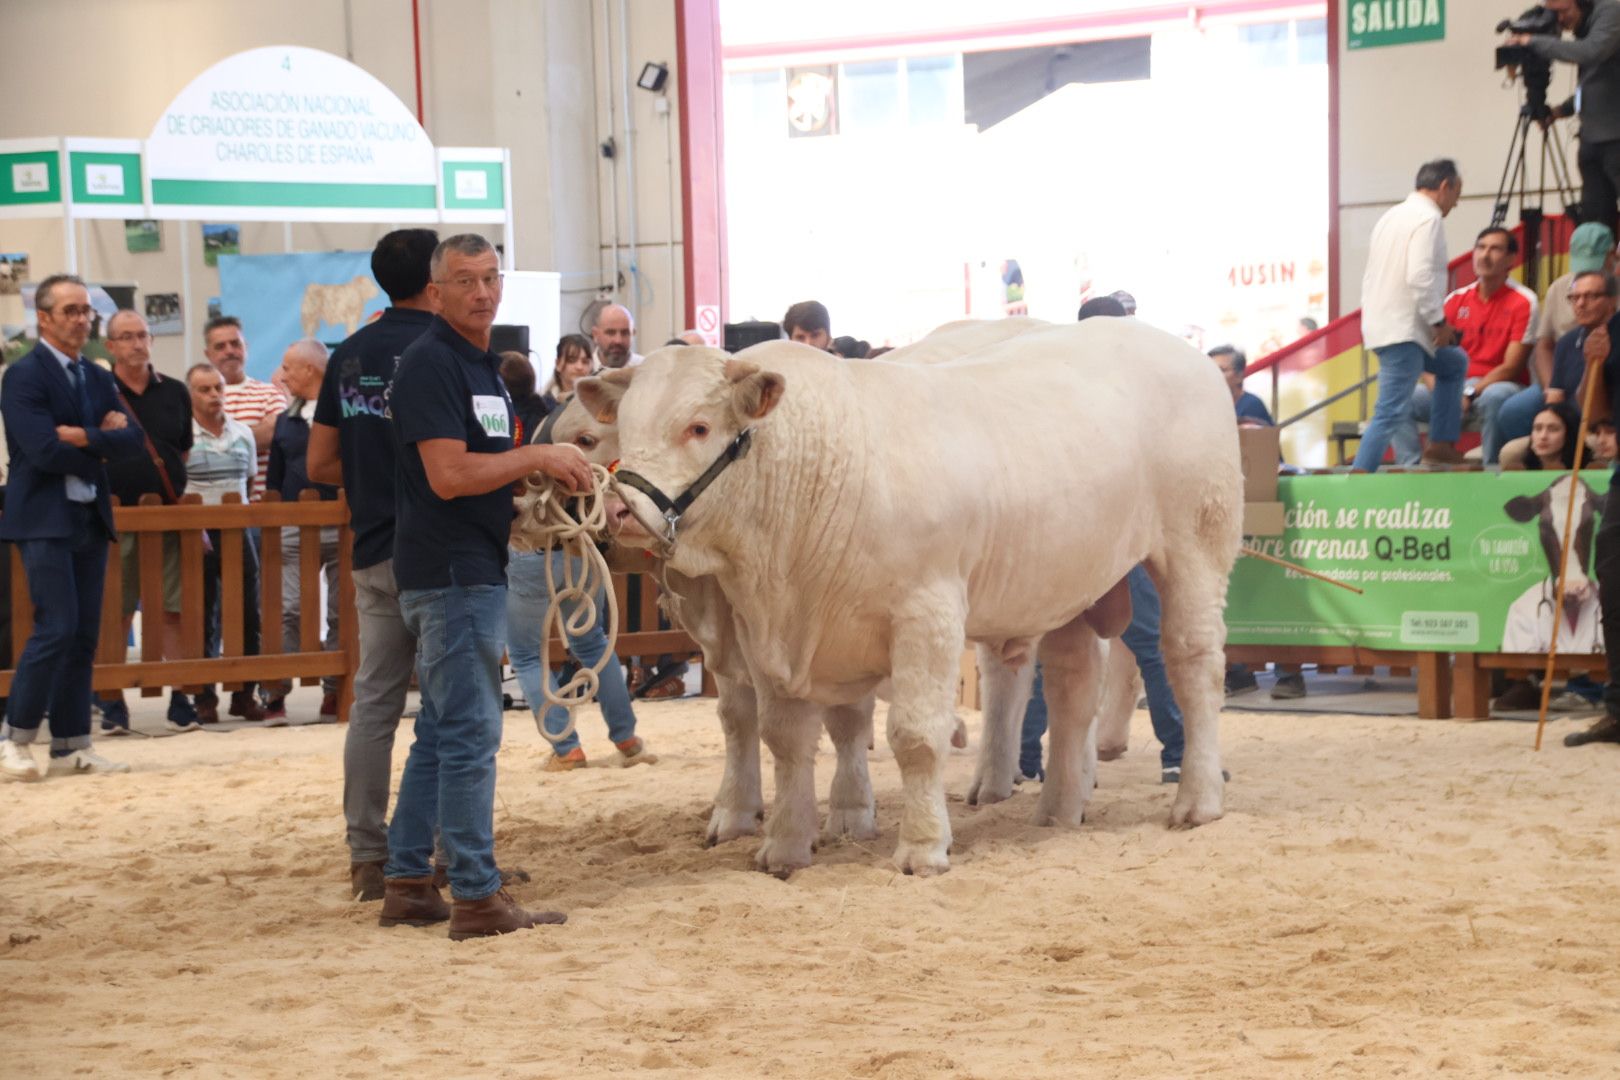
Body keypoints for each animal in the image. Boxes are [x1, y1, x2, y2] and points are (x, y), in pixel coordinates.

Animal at [586, 317, 1237, 874]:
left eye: (698, 427)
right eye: (628, 428)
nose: (619, 509)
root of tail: (1181, 349)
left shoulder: (928, 613)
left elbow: (916, 735)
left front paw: (922, 847)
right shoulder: (765, 630)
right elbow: (785, 736)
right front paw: (786, 845)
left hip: (1196, 545)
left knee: (1193, 664)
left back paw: (1197, 800)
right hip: (1067, 583)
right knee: (1072, 687)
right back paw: (1056, 807)